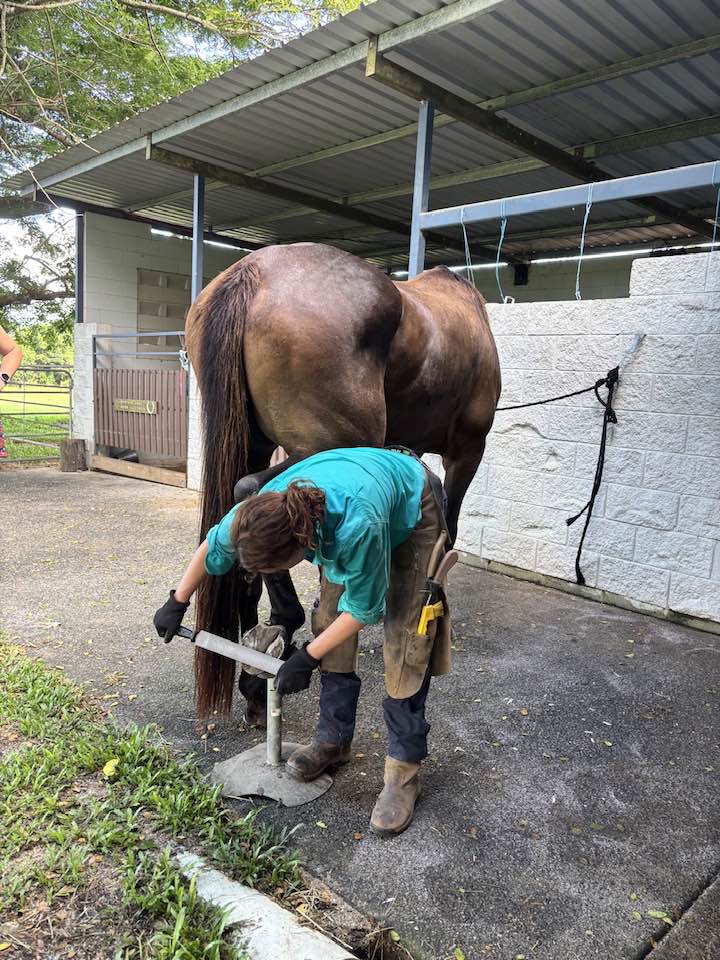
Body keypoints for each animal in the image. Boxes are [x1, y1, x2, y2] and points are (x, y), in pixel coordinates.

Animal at [185, 242, 501, 718]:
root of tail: (252, 273)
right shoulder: (466, 452)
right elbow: (450, 527)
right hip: (330, 446)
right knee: (253, 491)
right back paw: (284, 628)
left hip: (255, 442)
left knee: (239, 499)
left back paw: (254, 665)